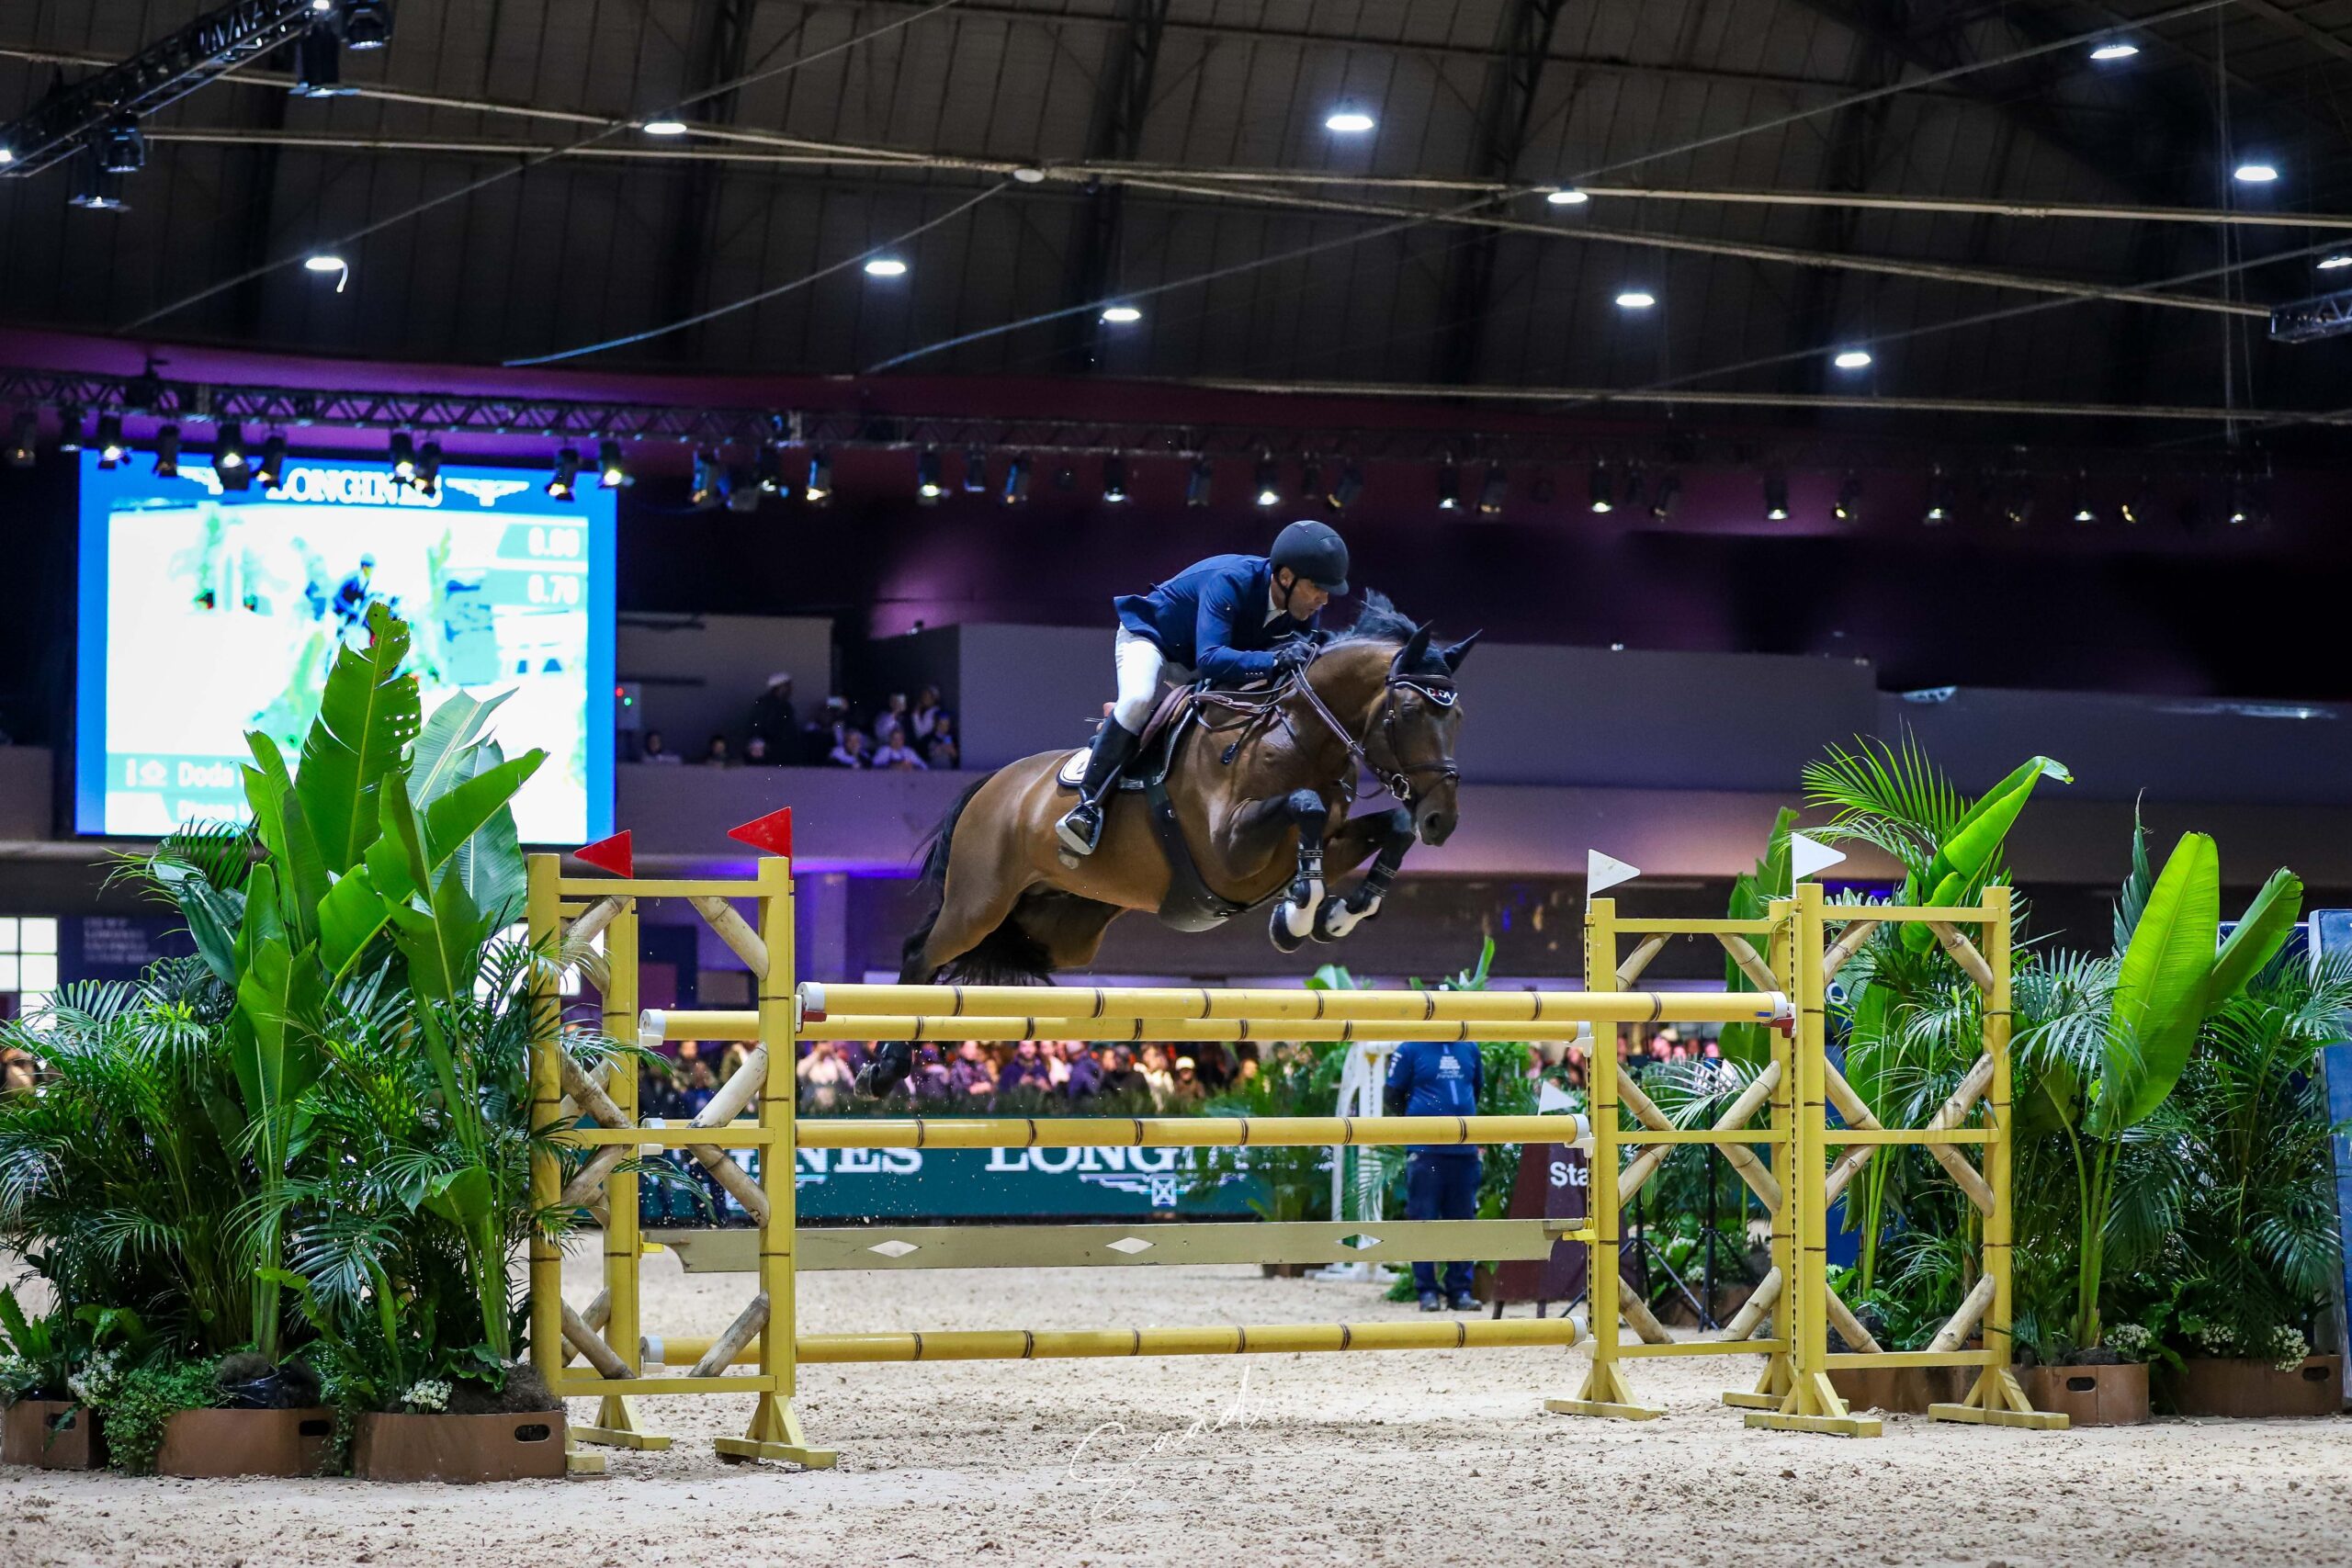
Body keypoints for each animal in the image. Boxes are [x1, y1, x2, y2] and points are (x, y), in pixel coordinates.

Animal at [855, 594, 1476, 1100]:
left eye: (1459, 717)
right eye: (1411, 711)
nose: (1442, 820)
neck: (1296, 734)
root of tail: (991, 785)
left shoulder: (1325, 843)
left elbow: (1388, 827)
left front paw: (1345, 911)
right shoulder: (1232, 853)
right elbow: (1305, 806)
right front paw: (1299, 913)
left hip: (1059, 932)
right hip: (979, 903)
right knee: (921, 953)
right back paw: (881, 1072)